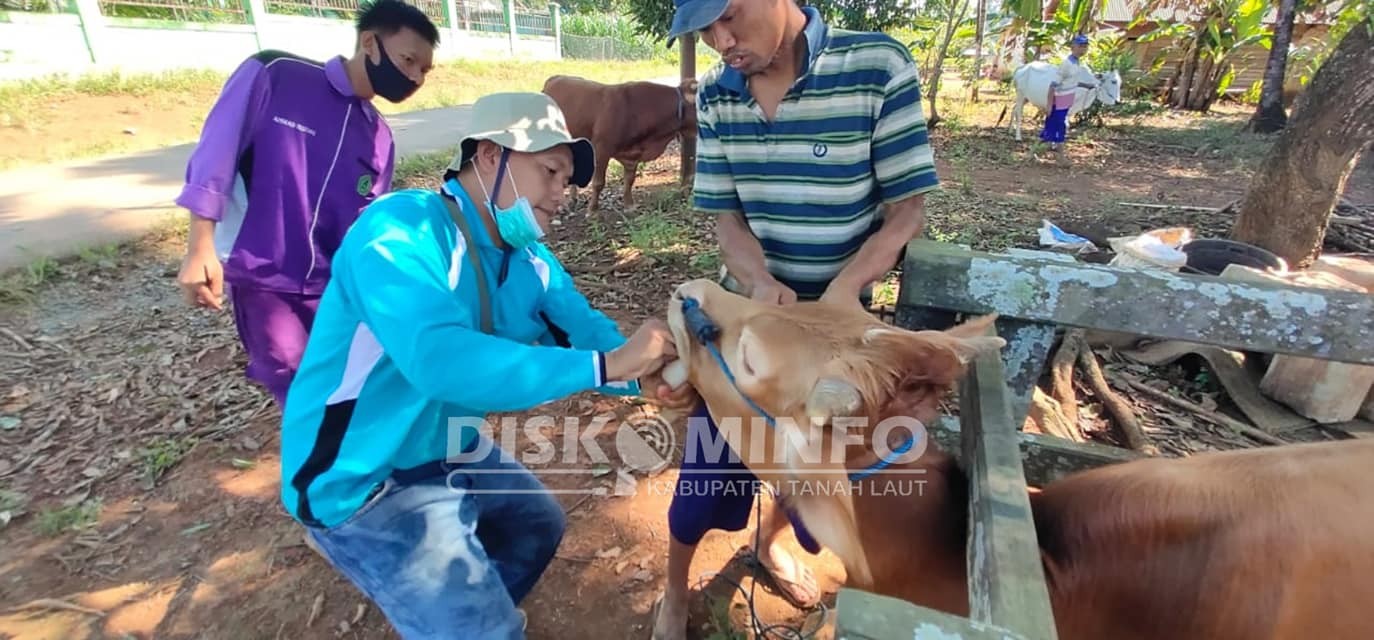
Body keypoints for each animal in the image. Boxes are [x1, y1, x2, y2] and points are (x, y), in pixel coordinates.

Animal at [541, 75, 697, 214]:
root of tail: (555, 78)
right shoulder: (601, 149)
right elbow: (598, 182)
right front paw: (593, 211)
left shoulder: (633, 155)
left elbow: (630, 180)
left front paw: (629, 205)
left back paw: (572, 200)